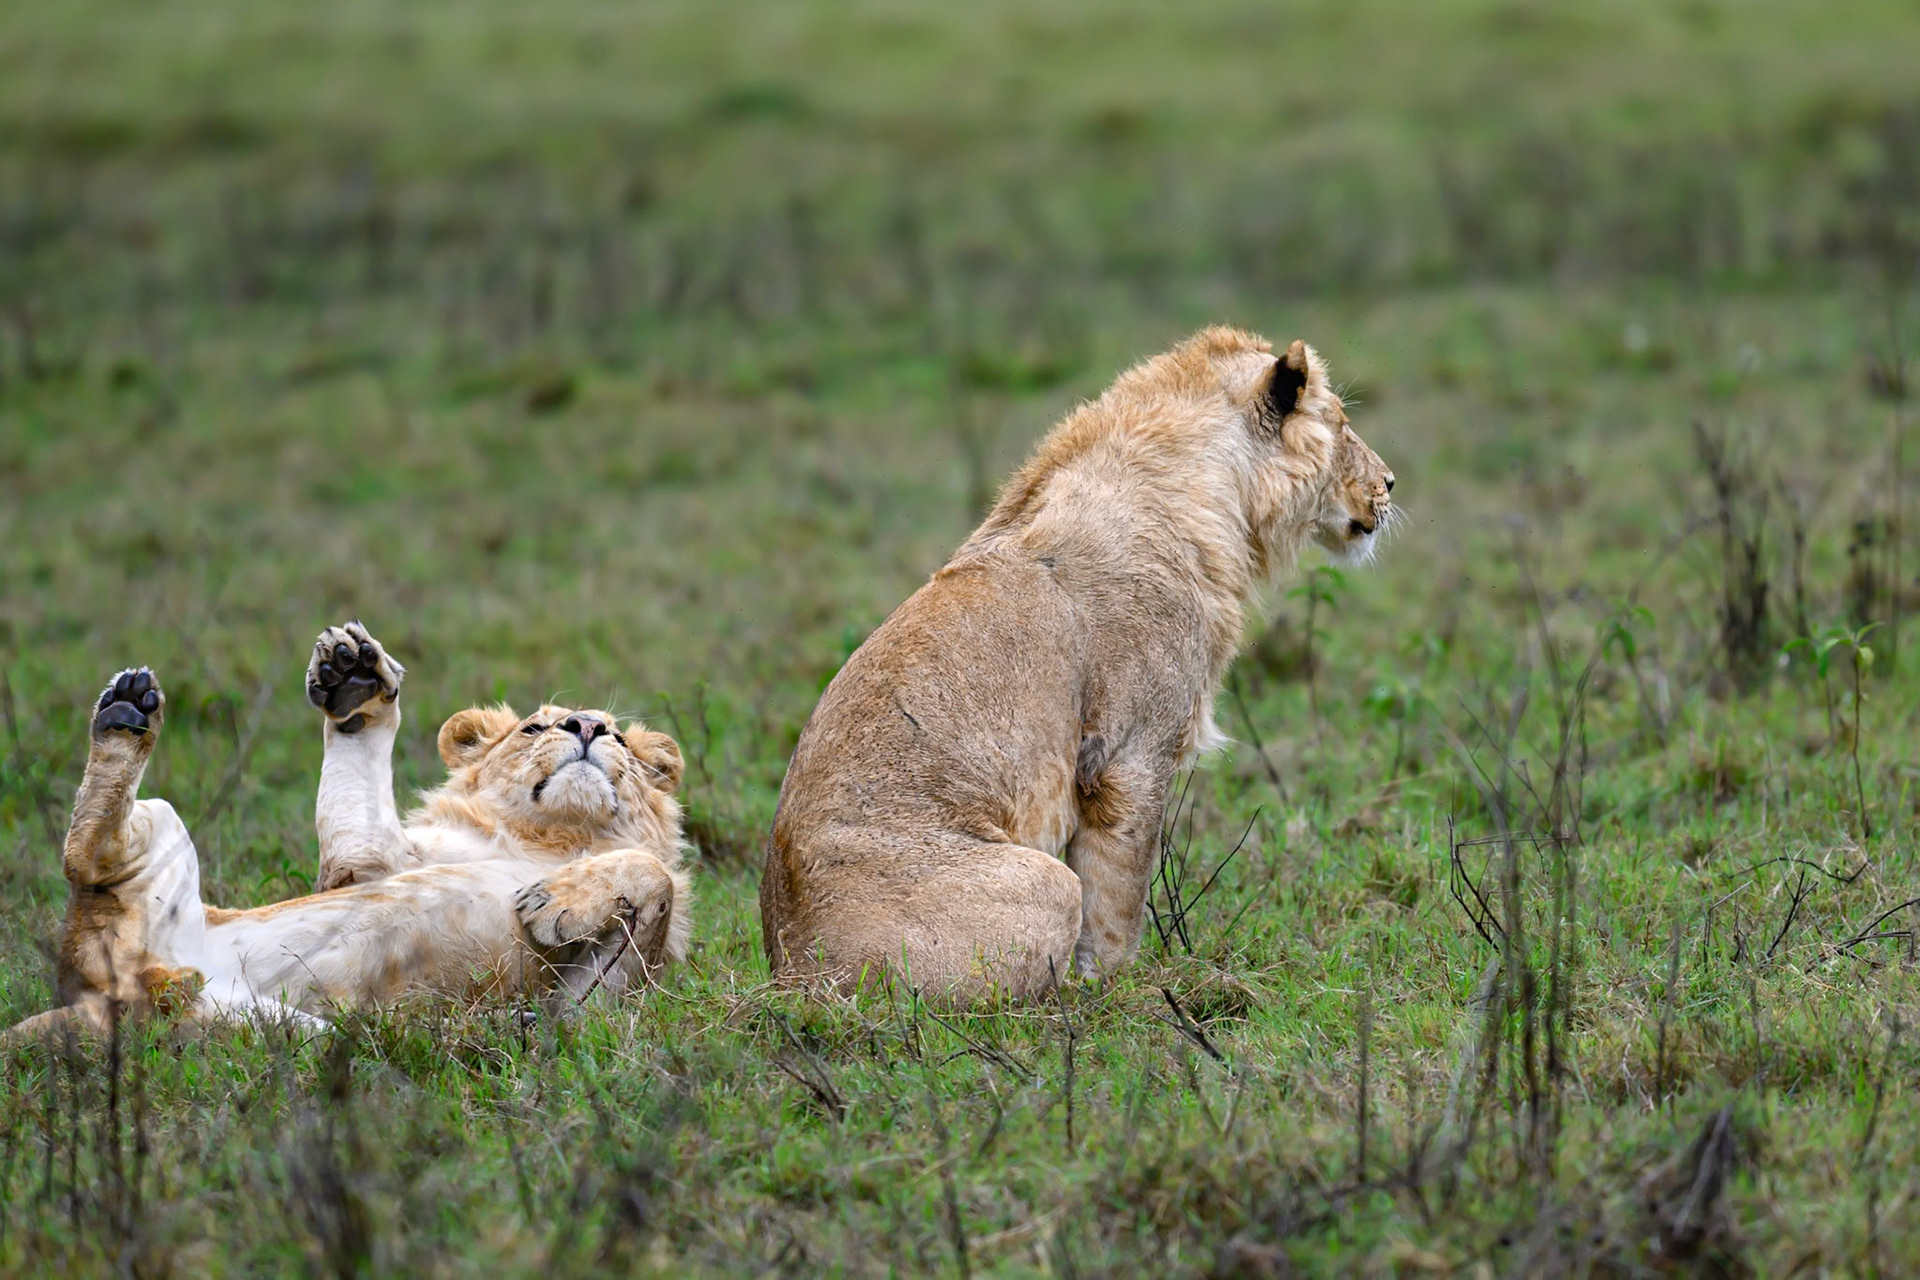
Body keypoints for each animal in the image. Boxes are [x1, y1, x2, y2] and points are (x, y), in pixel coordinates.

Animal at [2, 622, 691, 1048]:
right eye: (533, 728)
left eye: (618, 735)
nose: (587, 726)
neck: (553, 840)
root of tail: (95, 1000)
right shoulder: (367, 864)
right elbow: (357, 782)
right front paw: (355, 681)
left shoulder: (594, 1006)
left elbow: (653, 874)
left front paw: (551, 900)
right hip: (161, 822)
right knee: (85, 856)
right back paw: (124, 714)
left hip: (259, 1024)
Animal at [761, 326, 1394, 1003]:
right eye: (1343, 422)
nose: (1390, 483)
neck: (1221, 501)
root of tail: (789, 973)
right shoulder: (1128, 752)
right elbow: (1119, 893)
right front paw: (1116, 988)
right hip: (1045, 886)